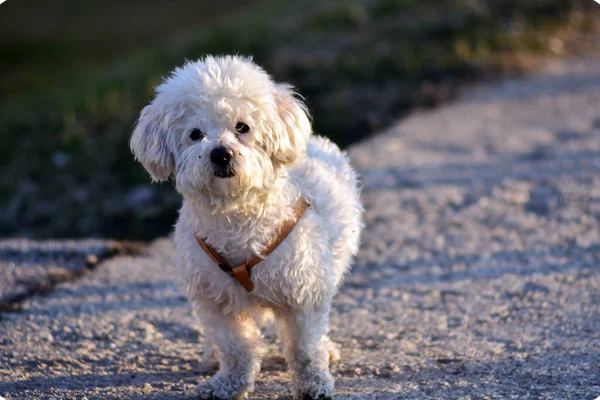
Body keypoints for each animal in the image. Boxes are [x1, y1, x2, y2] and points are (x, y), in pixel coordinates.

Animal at [131, 54, 364, 398]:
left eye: (242, 127)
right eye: (195, 134)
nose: (221, 154)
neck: (238, 215)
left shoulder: (303, 292)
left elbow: (305, 348)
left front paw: (313, 384)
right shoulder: (217, 299)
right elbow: (236, 347)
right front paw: (230, 383)